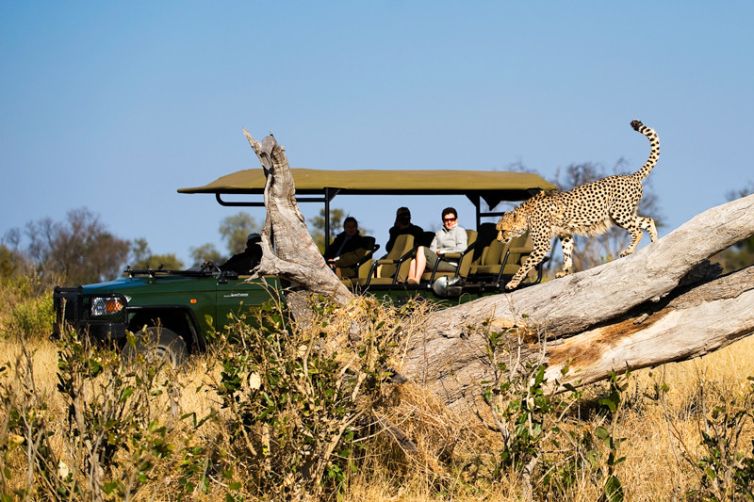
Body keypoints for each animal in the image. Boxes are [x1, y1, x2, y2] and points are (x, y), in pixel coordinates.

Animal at [496, 119, 660, 290]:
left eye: (504, 230)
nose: (499, 240)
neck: (526, 214)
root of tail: (631, 176)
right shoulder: (565, 233)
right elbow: (567, 252)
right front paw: (565, 271)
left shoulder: (542, 245)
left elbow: (526, 264)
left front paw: (513, 282)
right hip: (622, 214)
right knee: (648, 220)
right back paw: (655, 243)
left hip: (619, 213)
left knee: (637, 230)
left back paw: (629, 250)